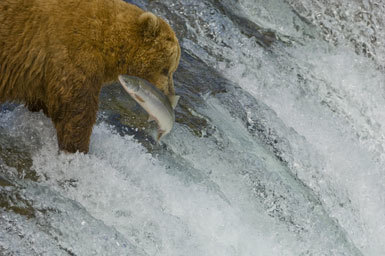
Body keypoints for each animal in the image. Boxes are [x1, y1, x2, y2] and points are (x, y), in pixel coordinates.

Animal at [0, 0, 180, 152]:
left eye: (172, 70)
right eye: (166, 70)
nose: (170, 95)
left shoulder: (42, 73)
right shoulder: (72, 54)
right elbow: (76, 110)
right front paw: (78, 149)